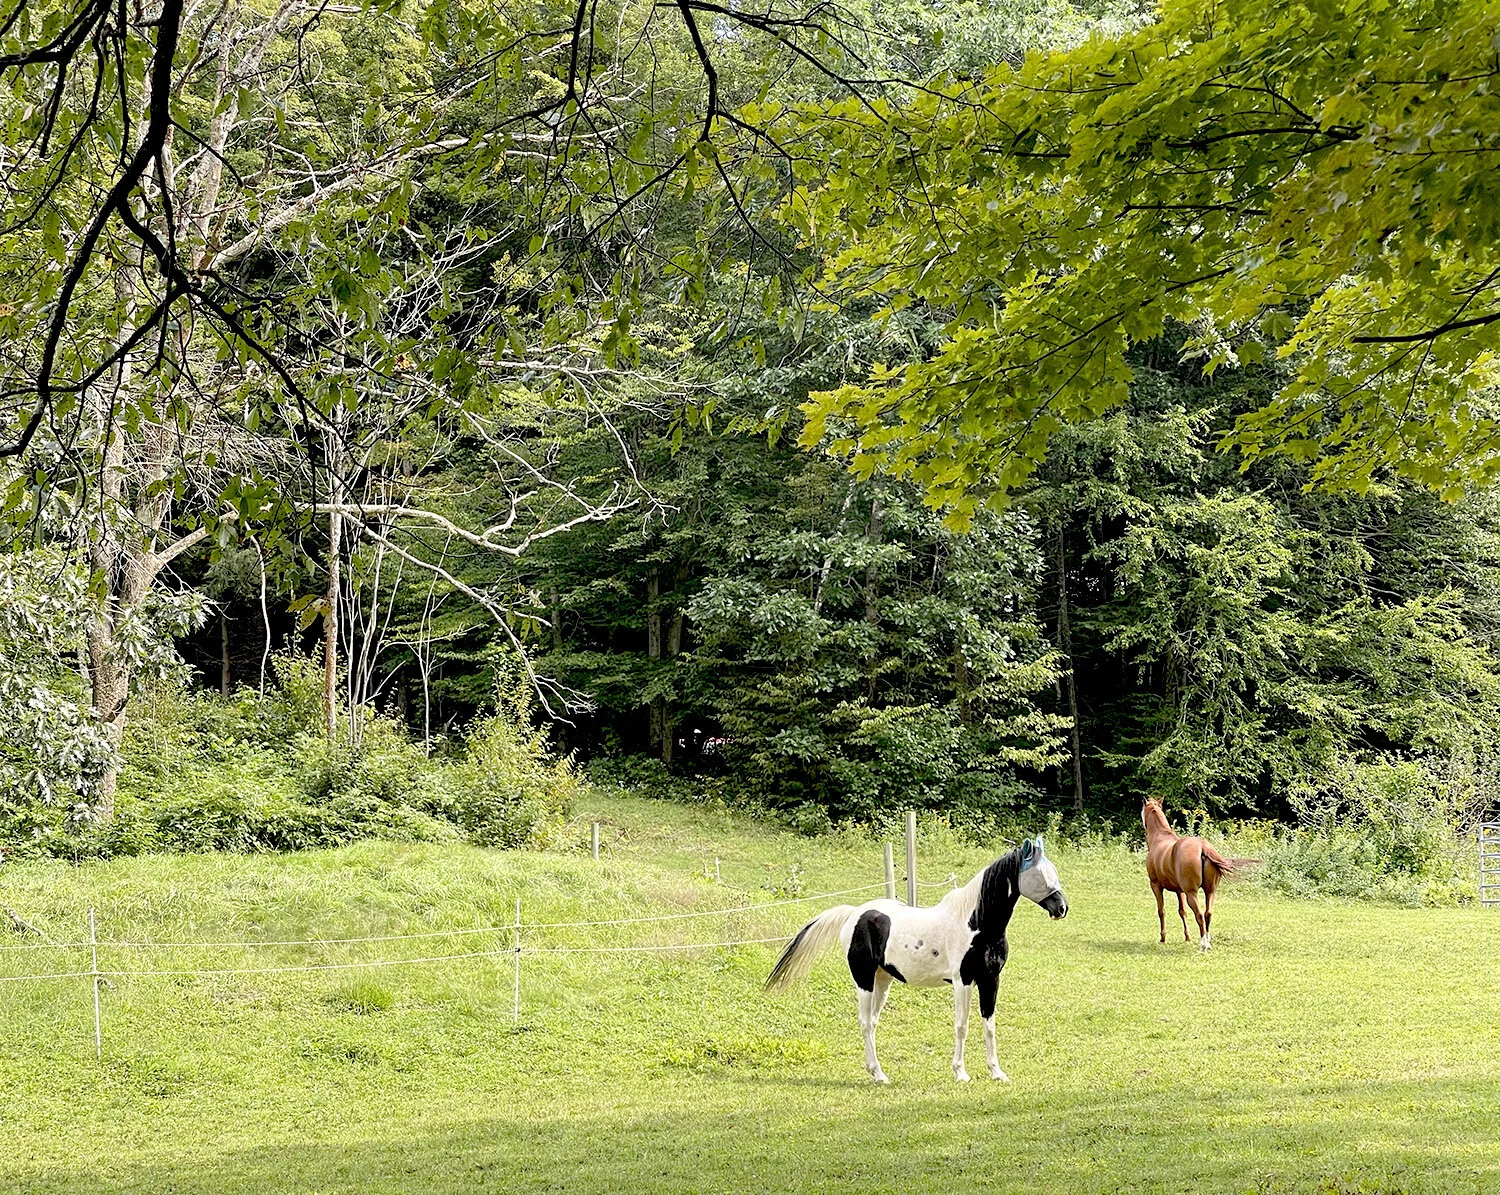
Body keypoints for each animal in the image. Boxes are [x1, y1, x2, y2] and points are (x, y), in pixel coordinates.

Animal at [765, 837, 1068, 1084]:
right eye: (1039, 874)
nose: (1062, 908)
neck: (975, 923)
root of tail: (854, 913)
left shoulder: (990, 980)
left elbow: (989, 1025)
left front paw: (996, 1072)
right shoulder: (963, 981)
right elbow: (962, 1026)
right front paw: (960, 1072)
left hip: (882, 980)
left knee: (872, 1022)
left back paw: (877, 1073)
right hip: (863, 980)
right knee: (864, 1022)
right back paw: (878, 1074)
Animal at [1141, 797, 1255, 951]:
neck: (1160, 838)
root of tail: (1203, 847)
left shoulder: (1156, 886)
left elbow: (1162, 911)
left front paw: (1163, 938)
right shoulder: (1180, 891)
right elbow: (1182, 912)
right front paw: (1187, 938)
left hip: (1192, 893)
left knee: (1200, 915)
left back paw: (1203, 944)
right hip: (1210, 891)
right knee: (1208, 914)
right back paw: (1207, 940)